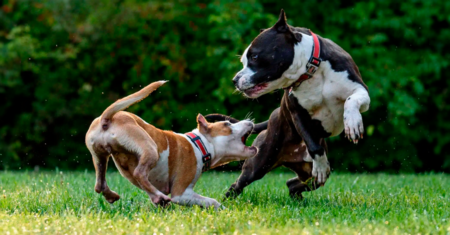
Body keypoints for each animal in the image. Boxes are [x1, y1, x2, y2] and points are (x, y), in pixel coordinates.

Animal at [85, 81, 256, 209]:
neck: (200, 144)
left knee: (99, 184)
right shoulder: (181, 193)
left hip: (100, 156)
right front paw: (223, 210)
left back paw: (115, 196)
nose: (250, 121)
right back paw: (158, 196)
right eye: (227, 124)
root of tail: (106, 119)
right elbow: (211, 201)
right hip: (149, 148)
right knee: (139, 173)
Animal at [207, 10, 370, 199]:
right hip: (259, 163)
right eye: (243, 61)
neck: (311, 70)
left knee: (294, 183)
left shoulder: (360, 90)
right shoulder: (297, 113)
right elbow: (314, 146)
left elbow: (351, 101)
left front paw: (353, 123)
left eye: (254, 56)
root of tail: (273, 116)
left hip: (306, 173)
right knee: (239, 184)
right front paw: (321, 164)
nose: (235, 80)